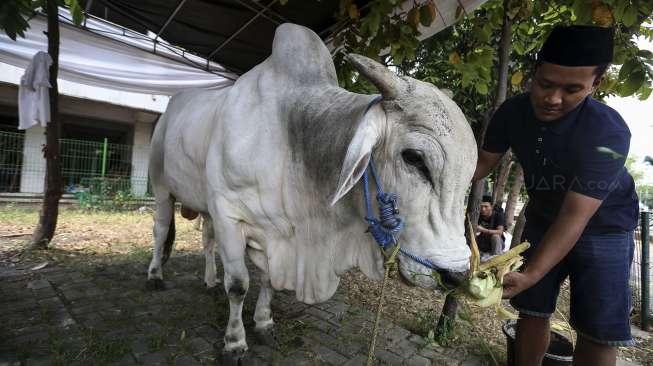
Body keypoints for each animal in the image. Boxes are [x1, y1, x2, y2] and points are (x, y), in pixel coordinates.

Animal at [145, 23, 476, 364]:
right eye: (414, 158)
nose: (456, 275)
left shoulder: (271, 232)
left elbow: (268, 280)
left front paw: (264, 324)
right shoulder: (228, 213)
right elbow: (238, 285)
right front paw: (234, 343)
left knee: (207, 240)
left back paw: (210, 281)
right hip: (161, 186)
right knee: (160, 230)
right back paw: (155, 276)